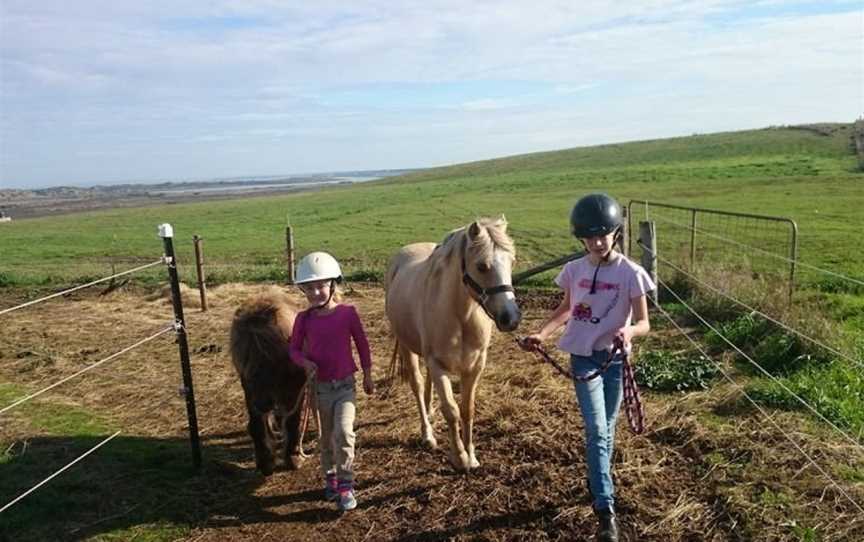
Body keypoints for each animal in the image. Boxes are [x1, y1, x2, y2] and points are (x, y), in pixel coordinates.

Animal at [384, 217, 520, 472]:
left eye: (511, 261)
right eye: (482, 266)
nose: (511, 318)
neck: (461, 316)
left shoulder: (475, 367)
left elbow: (468, 409)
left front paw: (472, 456)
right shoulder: (439, 366)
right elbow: (451, 410)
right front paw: (459, 458)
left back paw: (430, 411)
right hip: (407, 348)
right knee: (417, 385)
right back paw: (427, 434)